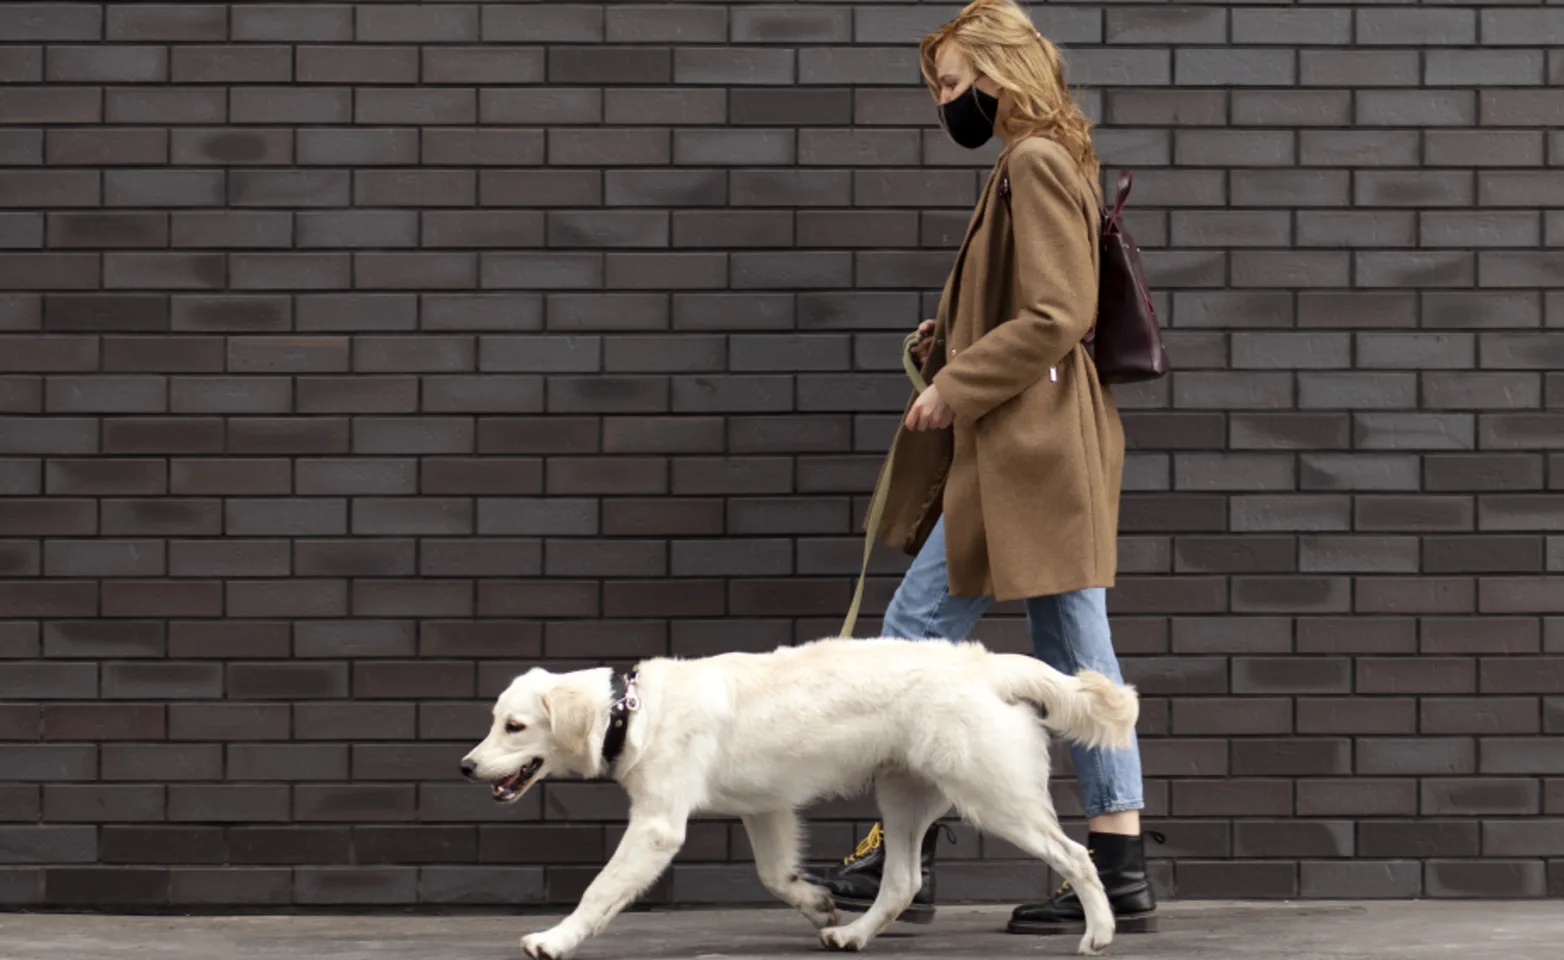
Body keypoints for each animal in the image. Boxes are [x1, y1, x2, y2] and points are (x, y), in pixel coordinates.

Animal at [459, 641, 1138, 960]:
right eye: (495, 722)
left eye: (514, 727)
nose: (466, 766)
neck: (632, 710)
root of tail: (989, 667)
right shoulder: (765, 807)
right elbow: (774, 876)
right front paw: (817, 905)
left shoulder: (656, 826)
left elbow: (599, 891)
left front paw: (556, 939)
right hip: (903, 795)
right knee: (903, 883)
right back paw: (854, 934)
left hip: (995, 797)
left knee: (1076, 856)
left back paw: (1101, 933)